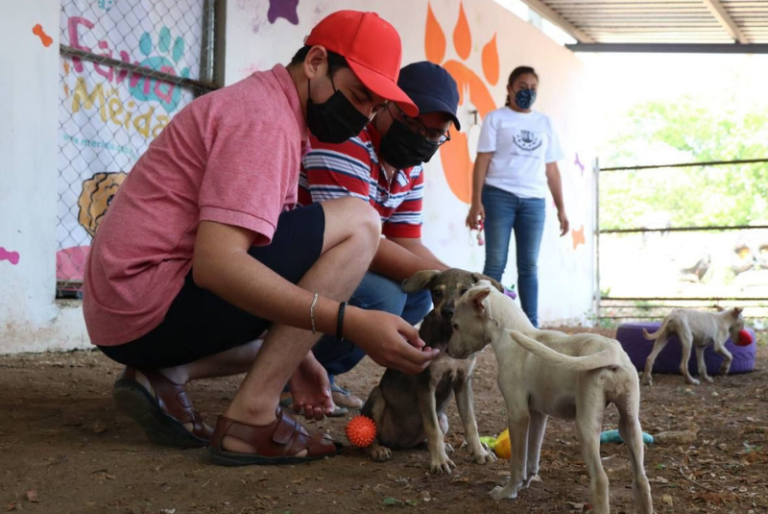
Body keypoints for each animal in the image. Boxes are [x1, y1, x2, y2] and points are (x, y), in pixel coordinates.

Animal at [362, 268, 504, 472]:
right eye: (437, 292)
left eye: (464, 291)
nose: (447, 312)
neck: (448, 336)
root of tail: (399, 442)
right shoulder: (426, 383)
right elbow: (432, 428)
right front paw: (440, 461)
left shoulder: (463, 382)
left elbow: (471, 423)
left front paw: (480, 453)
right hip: (377, 397)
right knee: (369, 434)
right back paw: (378, 450)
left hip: (443, 418)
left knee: (424, 440)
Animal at [450, 282, 656, 510]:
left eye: (455, 325)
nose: (447, 351)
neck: (513, 336)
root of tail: (610, 351)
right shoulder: (538, 415)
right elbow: (532, 456)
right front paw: (526, 483)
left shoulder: (518, 414)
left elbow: (517, 462)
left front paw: (508, 491)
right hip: (630, 424)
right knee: (642, 480)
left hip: (586, 425)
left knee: (601, 480)